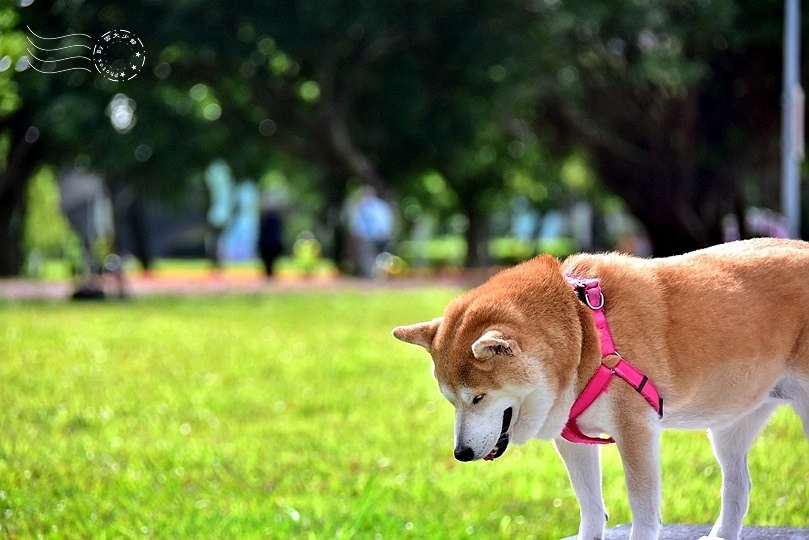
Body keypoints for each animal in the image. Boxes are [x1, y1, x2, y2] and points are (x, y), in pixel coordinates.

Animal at [392, 239, 808, 540]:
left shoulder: (635, 431)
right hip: (729, 426)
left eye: (478, 397)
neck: (584, 333)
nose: (460, 454)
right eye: (450, 401)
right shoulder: (571, 438)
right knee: (738, 485)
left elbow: (643, 508)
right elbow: (590, 505)